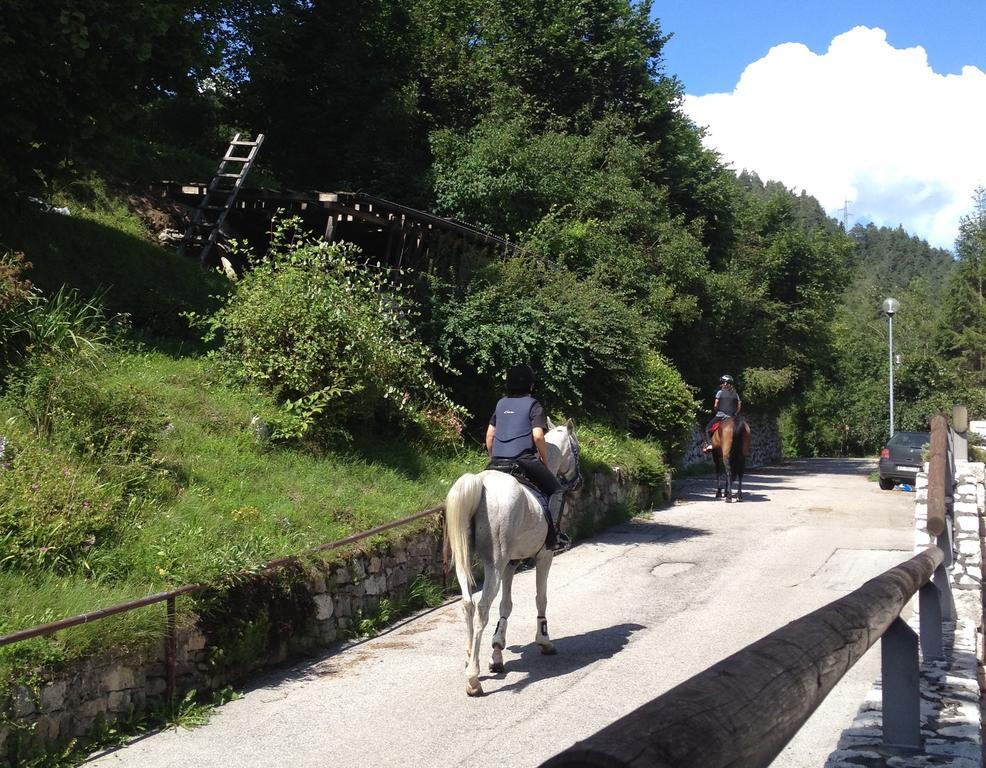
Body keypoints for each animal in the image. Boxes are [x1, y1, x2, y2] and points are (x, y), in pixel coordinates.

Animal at [444, 420, 576, 696]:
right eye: (576, 449)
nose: (576, 481)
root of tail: (479, 484)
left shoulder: (510, 564)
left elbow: (506, 605)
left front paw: (497, 652)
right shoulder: (544, 556)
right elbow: (540, 598)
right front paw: (544, 641)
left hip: (466, 564)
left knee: (467, 603)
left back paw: (470, 656)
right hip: (493, 565)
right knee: (482, 607)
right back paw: (473, 678)